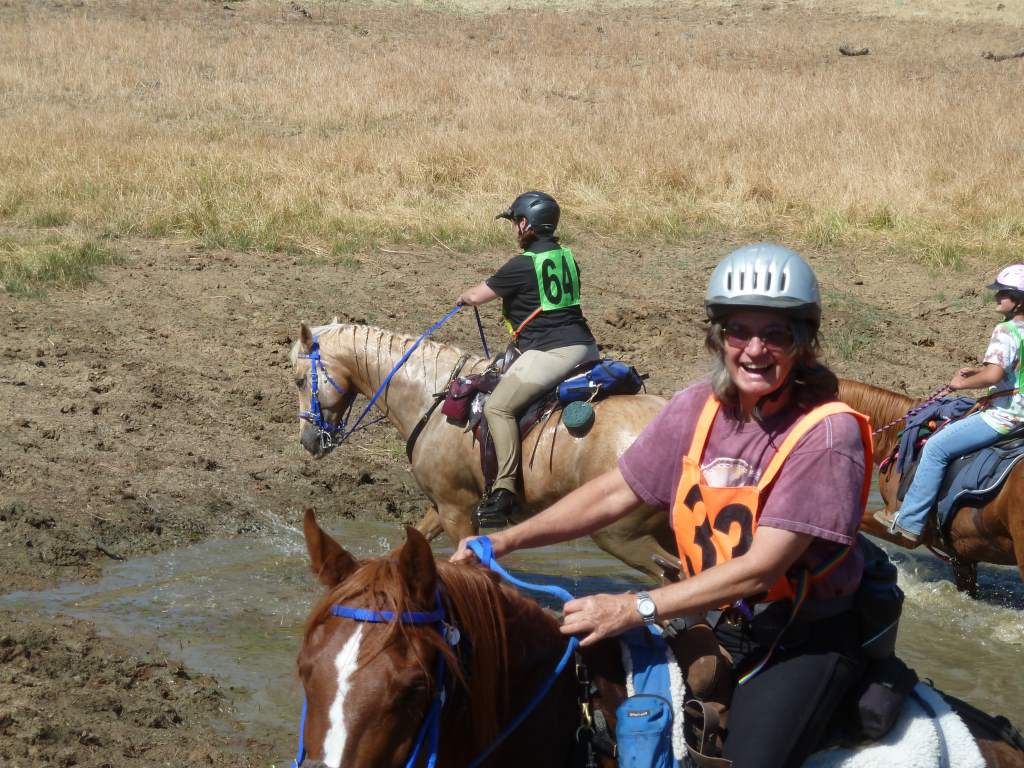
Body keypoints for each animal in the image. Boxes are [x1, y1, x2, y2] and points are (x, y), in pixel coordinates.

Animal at [290, 320, 678, 579]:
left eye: (298, 380)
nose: (308, 440)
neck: (433, 401)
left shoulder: (457, 511)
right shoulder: (443, 506)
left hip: (622, 536)